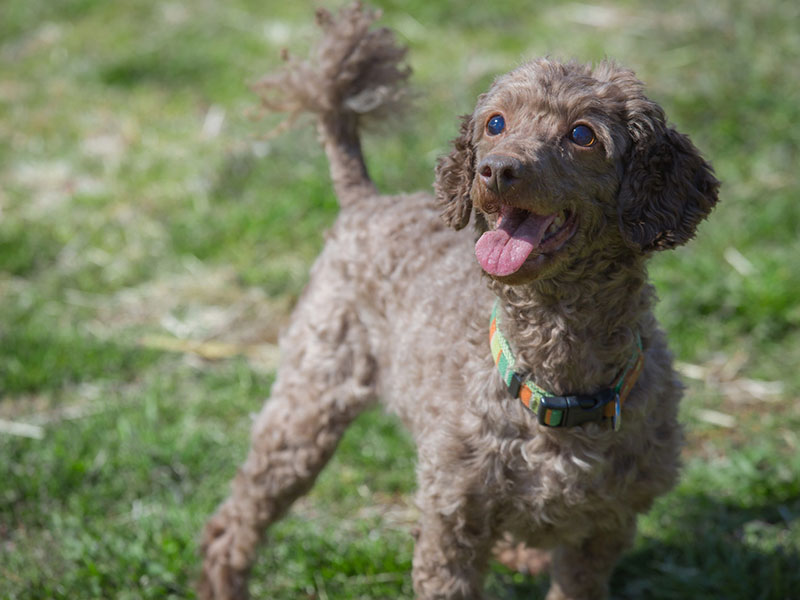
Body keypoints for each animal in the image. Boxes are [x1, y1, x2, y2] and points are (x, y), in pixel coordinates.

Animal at [198, 4, 720, 600]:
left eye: (582, 134)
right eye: (494, 124)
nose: (495, 169)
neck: (554, 380)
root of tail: (365, 201)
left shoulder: (605, 528)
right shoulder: (452, 521)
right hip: (309, 401)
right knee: (236, 518)